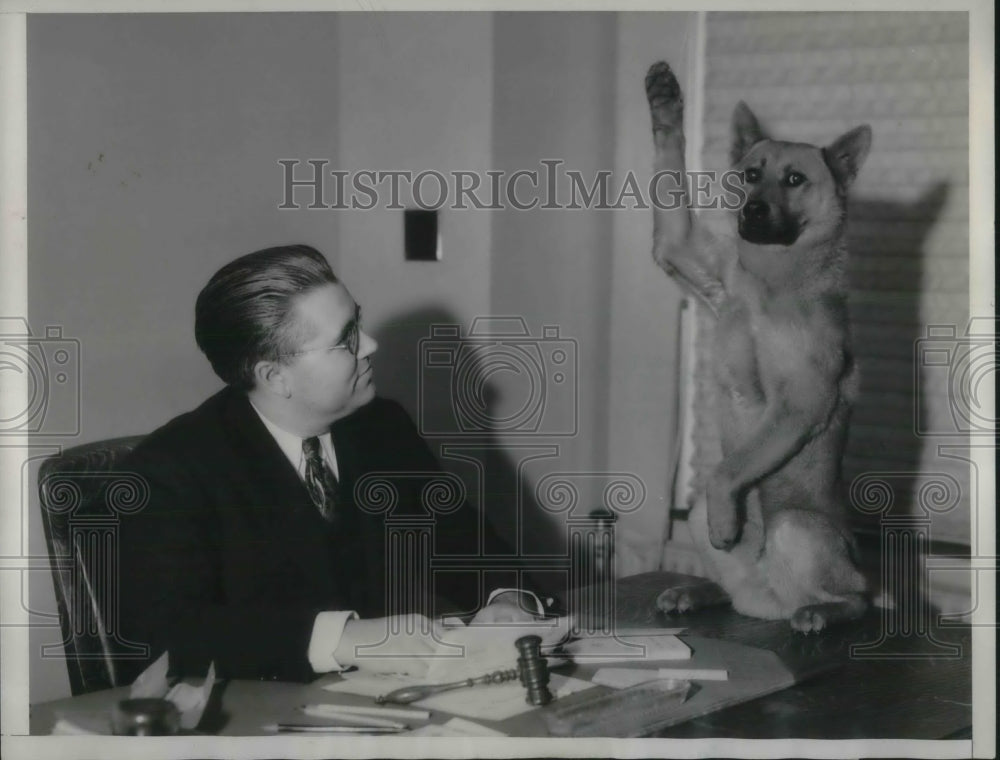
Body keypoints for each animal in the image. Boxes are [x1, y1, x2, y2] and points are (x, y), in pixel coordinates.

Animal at [644, 59, 872, 632]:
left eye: (794, 179)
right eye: (750, 173)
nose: (752, 212)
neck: (772, 280)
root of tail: (771, 598)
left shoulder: (801, 403)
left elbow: (727, 470)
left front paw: (729, 517)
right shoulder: (684, 252)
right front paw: (664, 100)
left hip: (797, 528)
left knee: (856, 598)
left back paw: (822, 611)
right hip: (696, 519)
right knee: (730, 587)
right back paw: (697, 593)